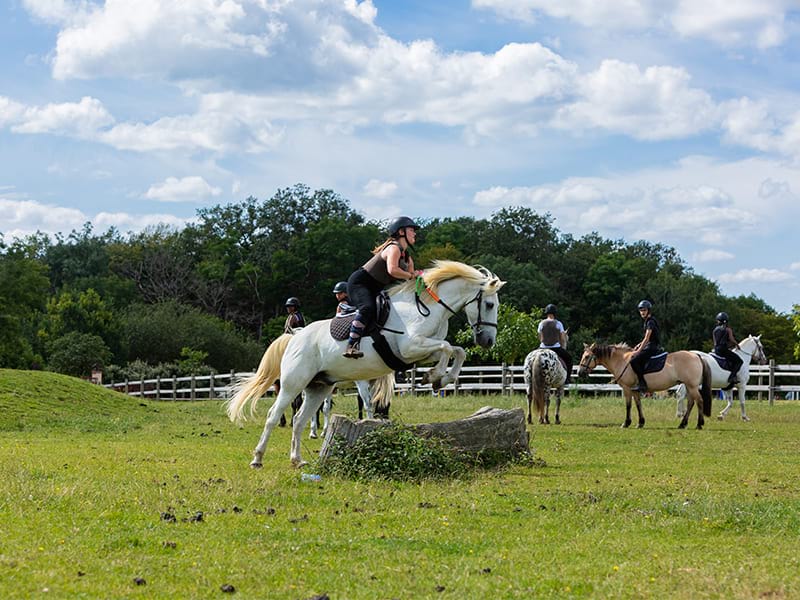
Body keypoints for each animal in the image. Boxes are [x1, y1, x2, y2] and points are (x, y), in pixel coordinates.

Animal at [225, 260, 504, 466]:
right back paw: (258, 458)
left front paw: (439, 378)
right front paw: (435, 377)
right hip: (294, 383)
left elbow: (457, 351)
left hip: (319, 386)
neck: (427, 308)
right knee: (274, 415)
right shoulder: (411, 347)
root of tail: (294, 337)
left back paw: (297, 459)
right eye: (490, 304)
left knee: (301, 419)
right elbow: (447, 348)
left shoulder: (420, 351)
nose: (488, 341)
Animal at [576, 342, 712, 432]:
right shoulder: (635, 390)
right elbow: (638, 404)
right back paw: (682, 424)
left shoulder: (627, 388)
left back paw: (699, 424)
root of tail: (697, 356)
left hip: (692, 386)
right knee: (691, 403)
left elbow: (628, 405)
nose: (579, 372)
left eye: (587, 356)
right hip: (689, 386)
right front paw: (640, 422)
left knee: (699, 401)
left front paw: (626, 423)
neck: (622, 361)